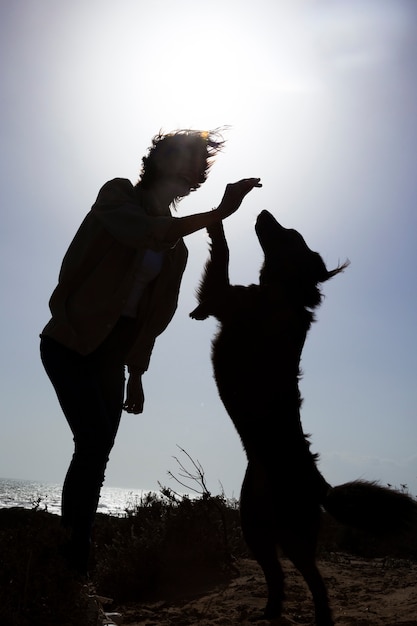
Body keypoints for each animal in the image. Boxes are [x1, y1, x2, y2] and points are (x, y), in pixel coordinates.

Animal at [190, 210, 414, 624]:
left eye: (290, 234)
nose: (264, 213)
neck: (282, 292)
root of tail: (320, 485)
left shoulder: (225, 298)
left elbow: (222, 256)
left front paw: (218, 219)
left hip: (292, 534)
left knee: (315, 580)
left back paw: (319, 615)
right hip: (255, 527)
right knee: (276, 575)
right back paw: (270, 611)